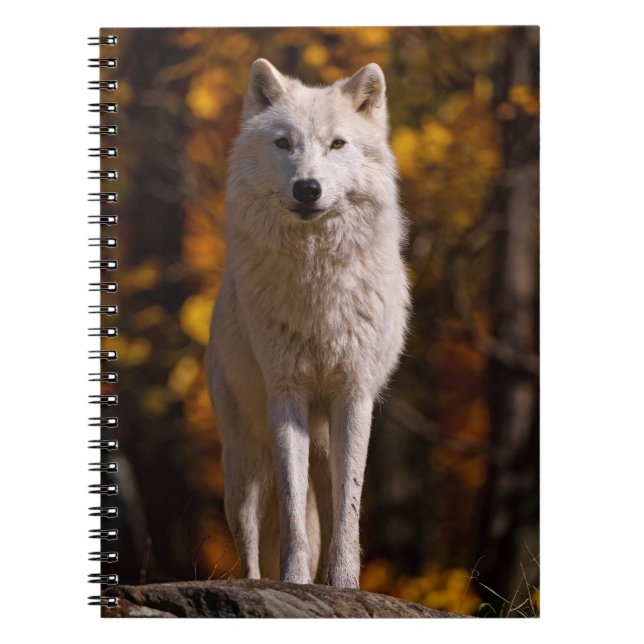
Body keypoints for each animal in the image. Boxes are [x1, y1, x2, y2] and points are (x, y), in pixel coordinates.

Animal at [206, 58, 410, 588]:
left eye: (337, 144)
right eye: (283, 143)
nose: (307, 188)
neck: (317, 282)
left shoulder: (354, 397)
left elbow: (349, 507)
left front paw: (344, 584)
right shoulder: (286, 394)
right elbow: (293, 508)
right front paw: (295, 582)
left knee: (329, 501)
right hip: (244, 464)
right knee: (252, 539)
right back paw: (258, 585)